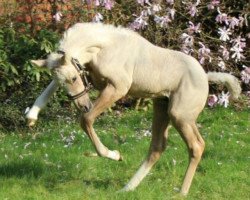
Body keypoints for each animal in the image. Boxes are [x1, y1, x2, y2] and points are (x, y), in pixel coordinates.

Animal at [28, 22, 240, 195]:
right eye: (63, 83)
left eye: (73, 78)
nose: (84, 105)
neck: (105, 48)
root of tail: (205, 76)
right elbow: (50, 89)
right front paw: (31, 116)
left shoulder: (117, 88)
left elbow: (86, 120)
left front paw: (114, 155)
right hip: (164, 110)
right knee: (158, 147)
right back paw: (128, 188)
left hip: (180, 116)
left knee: (196, 146)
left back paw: (181, 192)